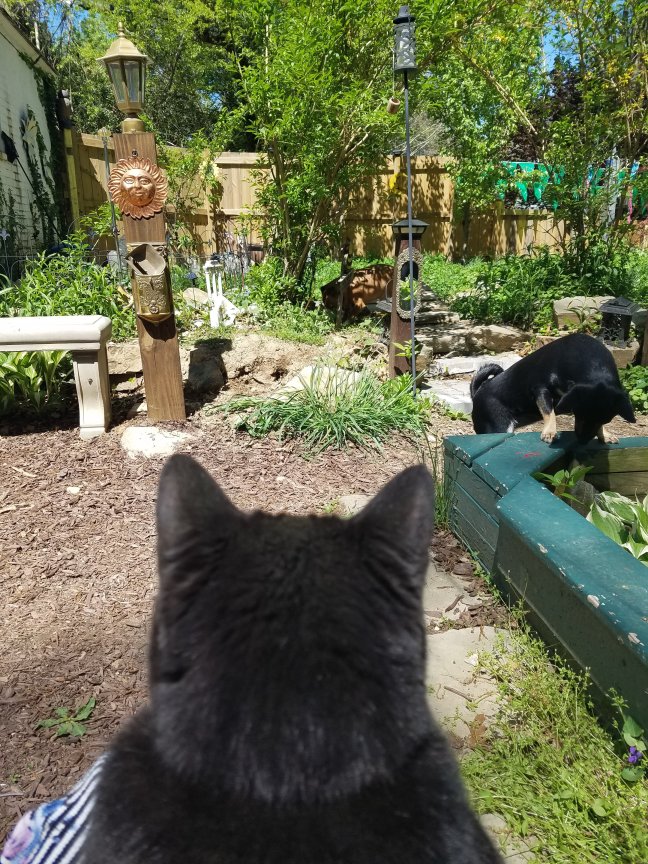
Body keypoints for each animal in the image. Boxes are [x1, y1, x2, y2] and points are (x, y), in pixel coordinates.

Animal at [470, 333, 636, 444]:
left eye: (606, 420)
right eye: (579, 414)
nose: (583, 440)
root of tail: (477, 393)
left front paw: (605, 434)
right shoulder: (541, 389)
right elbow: (549, 412)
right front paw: (549, 432)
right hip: (499, 426)